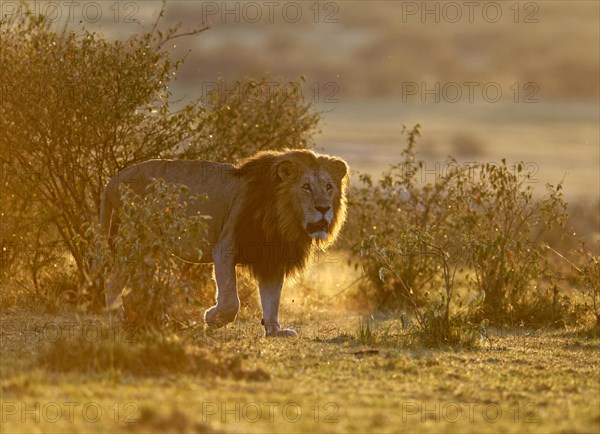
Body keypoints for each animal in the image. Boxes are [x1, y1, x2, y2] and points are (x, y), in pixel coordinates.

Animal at [101, 149, 350, 336]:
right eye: (306, 187)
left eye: (329, 187)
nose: (323, 208)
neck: (283, 217)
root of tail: (114, 180)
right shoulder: (225, 248)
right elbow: (231, 301)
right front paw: (212, 317)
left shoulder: (272, 257)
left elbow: (272, 298)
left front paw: (274, 331)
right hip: (136, 240)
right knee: (112, 284)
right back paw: (117, 320)